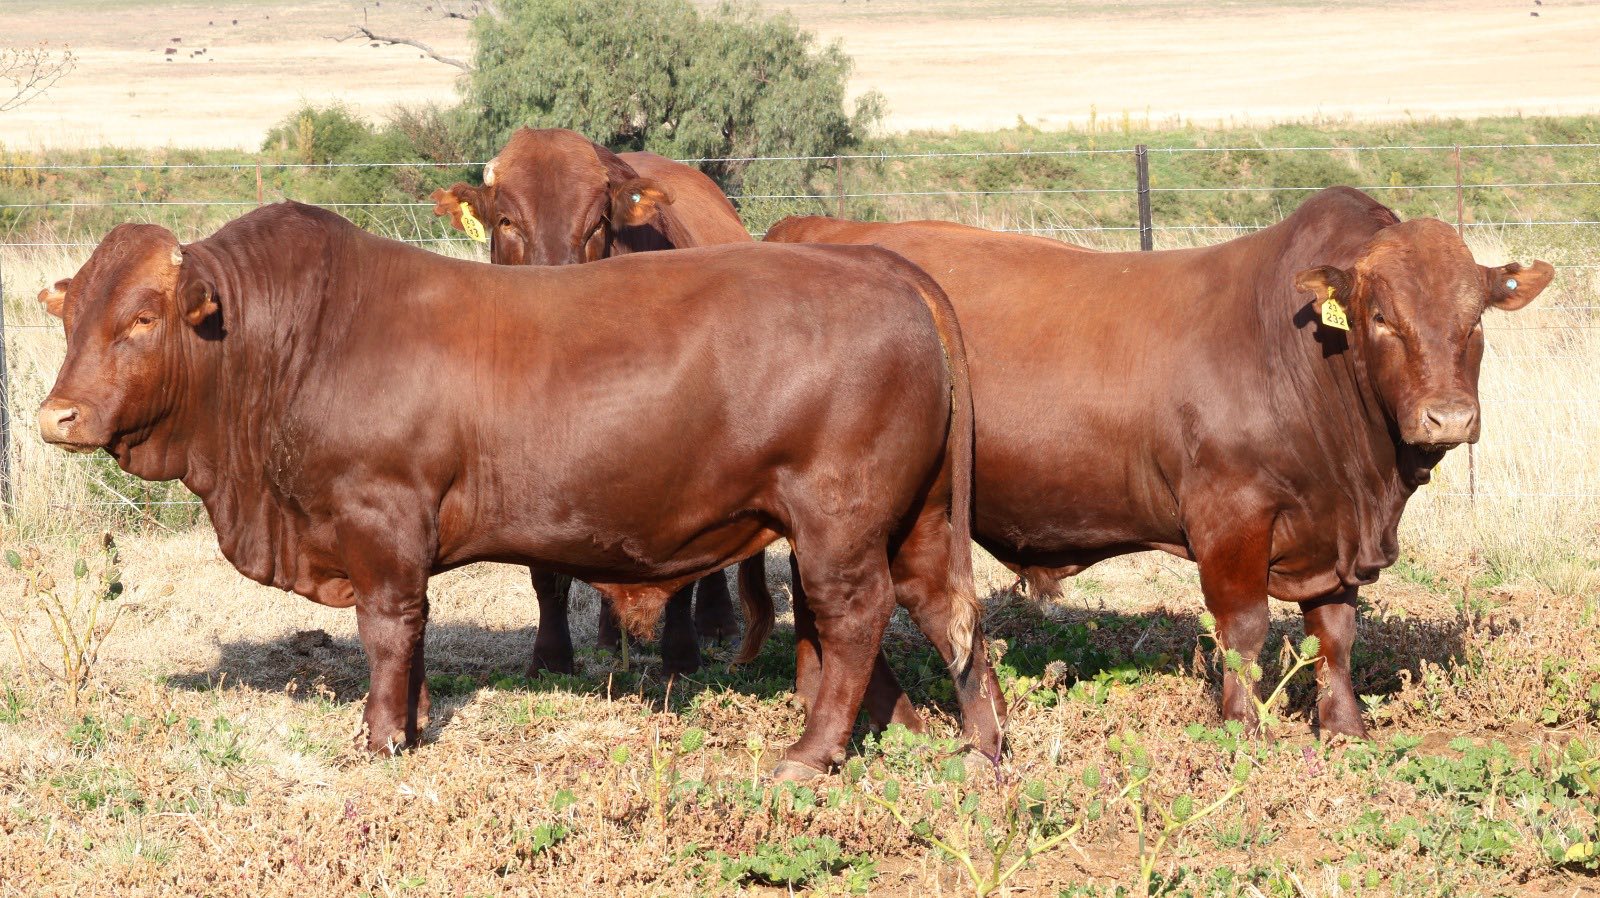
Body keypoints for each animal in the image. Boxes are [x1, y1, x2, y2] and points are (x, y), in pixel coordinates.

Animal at [35, 201, 1001, 779]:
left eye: (142, 318)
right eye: (73, 313)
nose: (56, 416)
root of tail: (882, 267)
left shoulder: (381, 518)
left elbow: (389, 629)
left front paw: (384, 736)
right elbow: (412, 635)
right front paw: (416, 717)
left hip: (836, 520)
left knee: (855, 616)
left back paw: (811, 752)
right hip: (909, 519)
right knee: (941, 610)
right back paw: (974, 741)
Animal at [431, 127, 756, 676]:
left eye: (596, 224)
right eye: (507, 221)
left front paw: (681, 653)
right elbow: (545, 570)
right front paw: (551, 657)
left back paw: (716, 623)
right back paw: (609, 636)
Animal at [765, 187, 1552, 738]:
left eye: (1475, 319)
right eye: (1381, 317)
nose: (1448, 417)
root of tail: (813, 229)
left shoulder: (1334, 531)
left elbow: (1335, 632)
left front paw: (1345, 729)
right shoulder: (1230, 515)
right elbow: (1244, 629)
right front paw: (1243, 729)